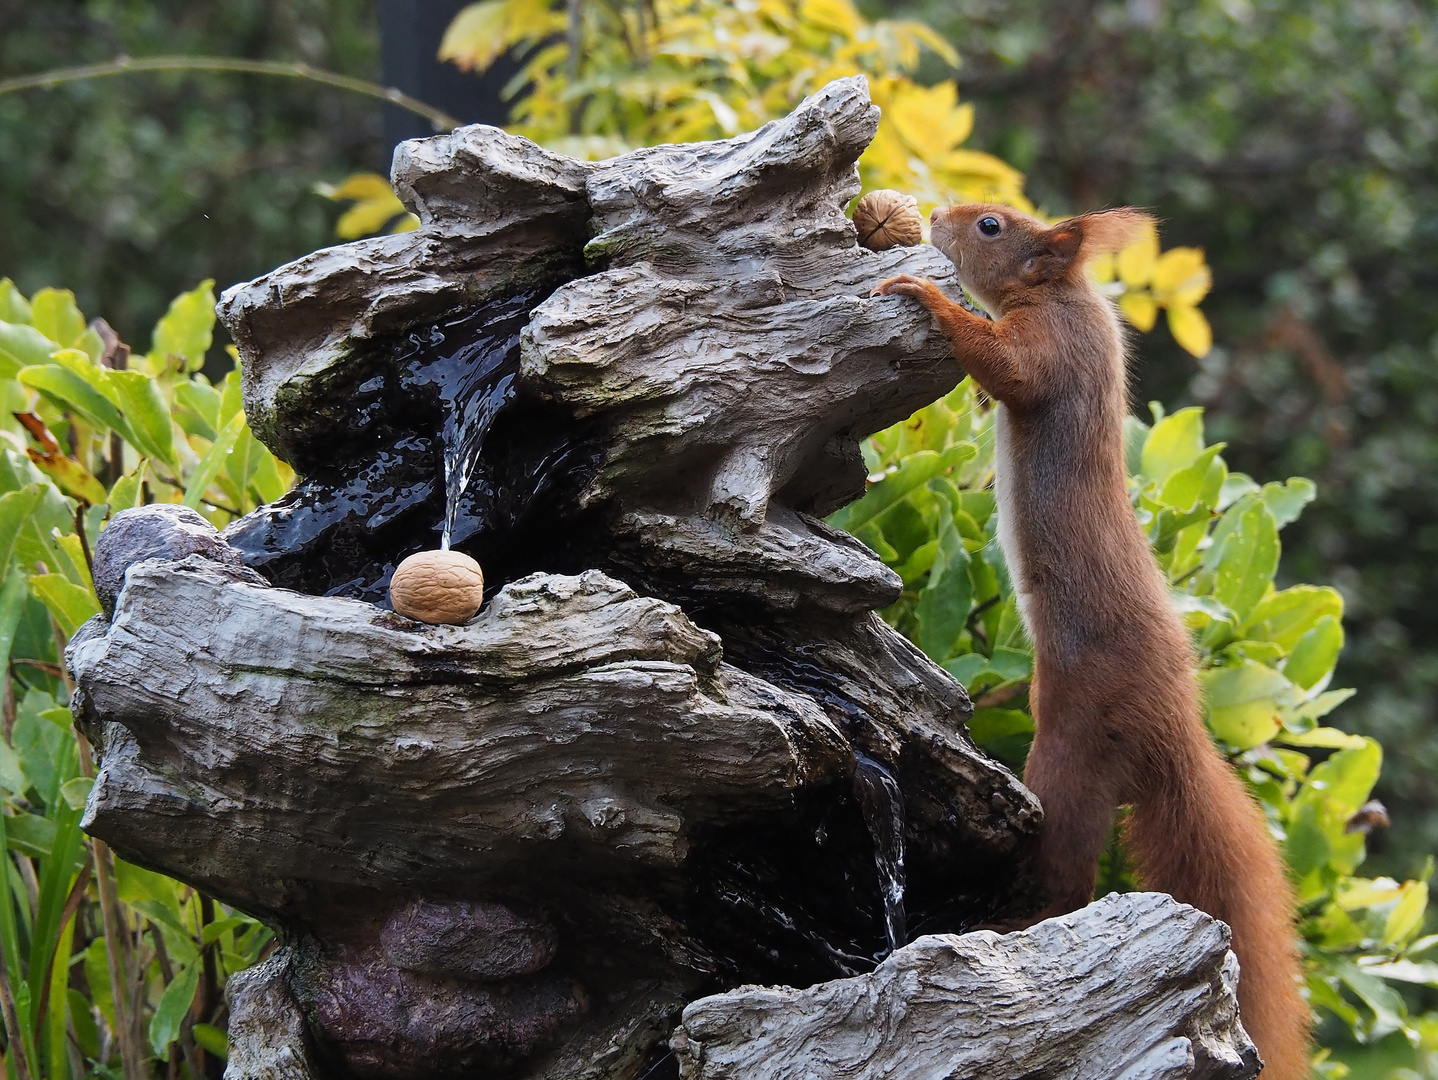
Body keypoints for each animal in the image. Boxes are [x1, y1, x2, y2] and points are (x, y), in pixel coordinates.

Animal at [868, 204, 1311, 1080]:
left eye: (990, 225)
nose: (934, 215)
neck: (1063, 293)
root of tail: (1172, 728)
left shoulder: (1052, 350)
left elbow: (1004, 367)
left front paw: (924, 296)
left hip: (1070, 757)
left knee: (1067, 876)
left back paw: (1011, 930)